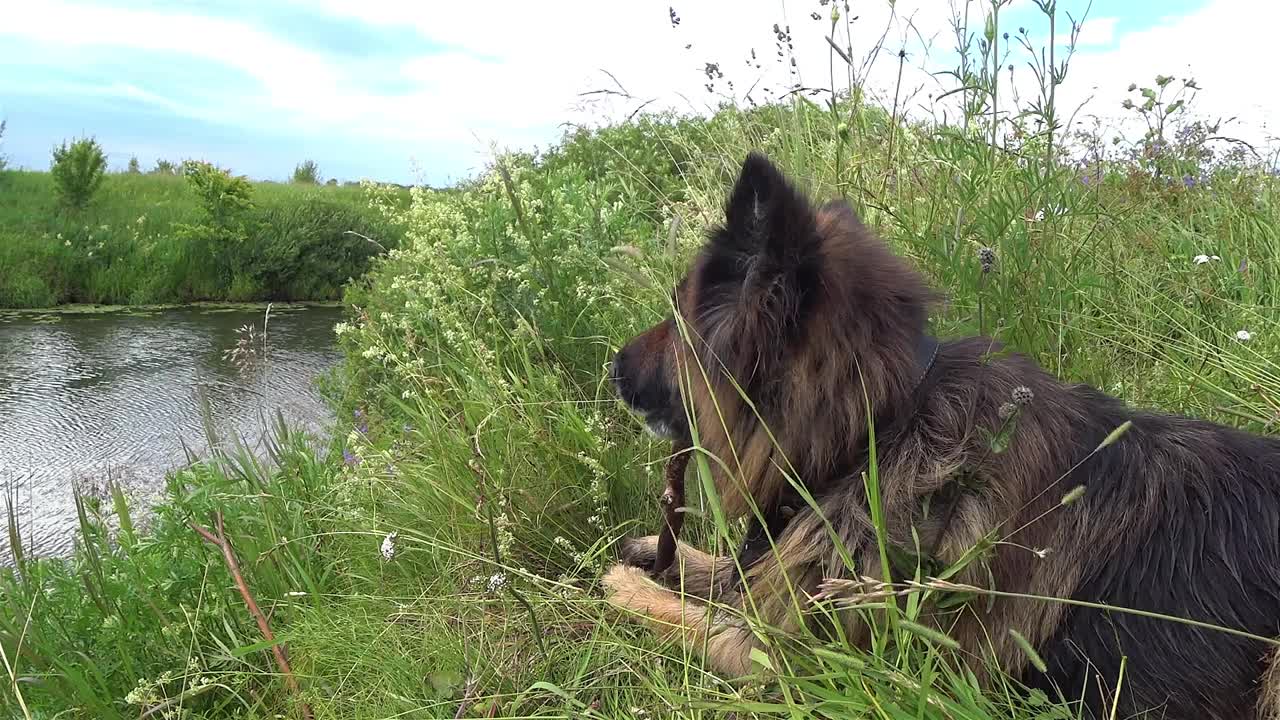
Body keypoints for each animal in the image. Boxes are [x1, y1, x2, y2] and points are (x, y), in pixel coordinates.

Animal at [599, 151, 1280, 717]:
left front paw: (625, 587)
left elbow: (699, 622)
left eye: (675, 313)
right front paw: (667, 557)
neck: (879, 430)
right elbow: (739, 577)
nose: (613, 367)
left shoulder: (802, 665)